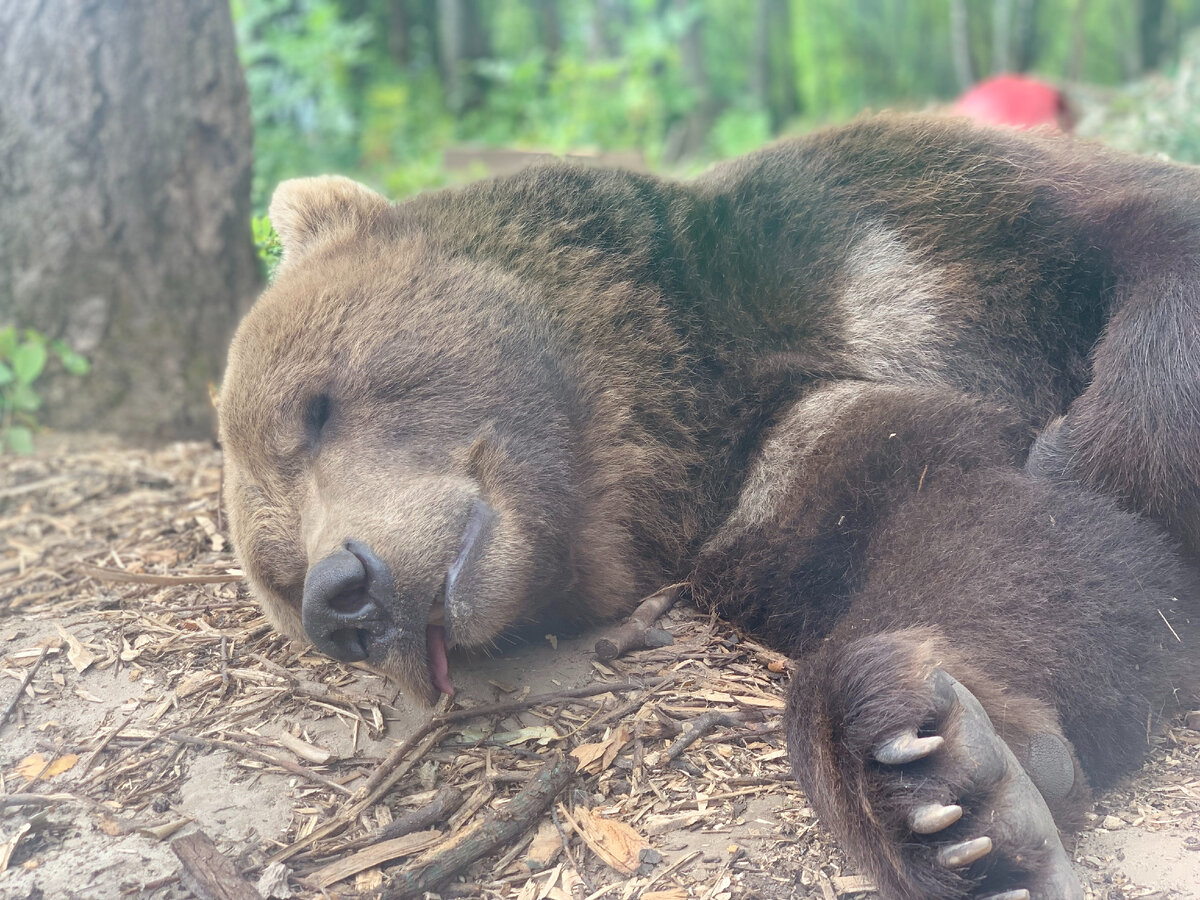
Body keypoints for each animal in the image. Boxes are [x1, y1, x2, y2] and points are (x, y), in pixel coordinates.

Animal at [220, 114, 1200, 900]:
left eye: (316, 406)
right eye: (279, 570)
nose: (341, 595)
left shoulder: (899, 232)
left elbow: (1142, 233)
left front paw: (1083, 448)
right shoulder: (778, 483)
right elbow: (996, 543)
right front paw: (938, 785)